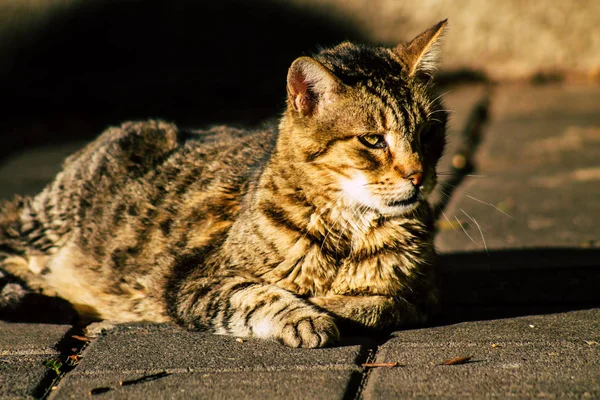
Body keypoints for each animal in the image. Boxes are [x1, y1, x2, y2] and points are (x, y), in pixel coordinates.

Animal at [0, 21, 446, 346]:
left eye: (427, 134)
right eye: (372, 140)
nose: (418, 176)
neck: (348, 230)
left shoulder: (424, 296)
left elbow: (383, 303)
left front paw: (336, 304)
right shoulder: (193, 280)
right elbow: (258, 295)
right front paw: (307, 315)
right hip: (48, 219)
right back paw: (37, 295)